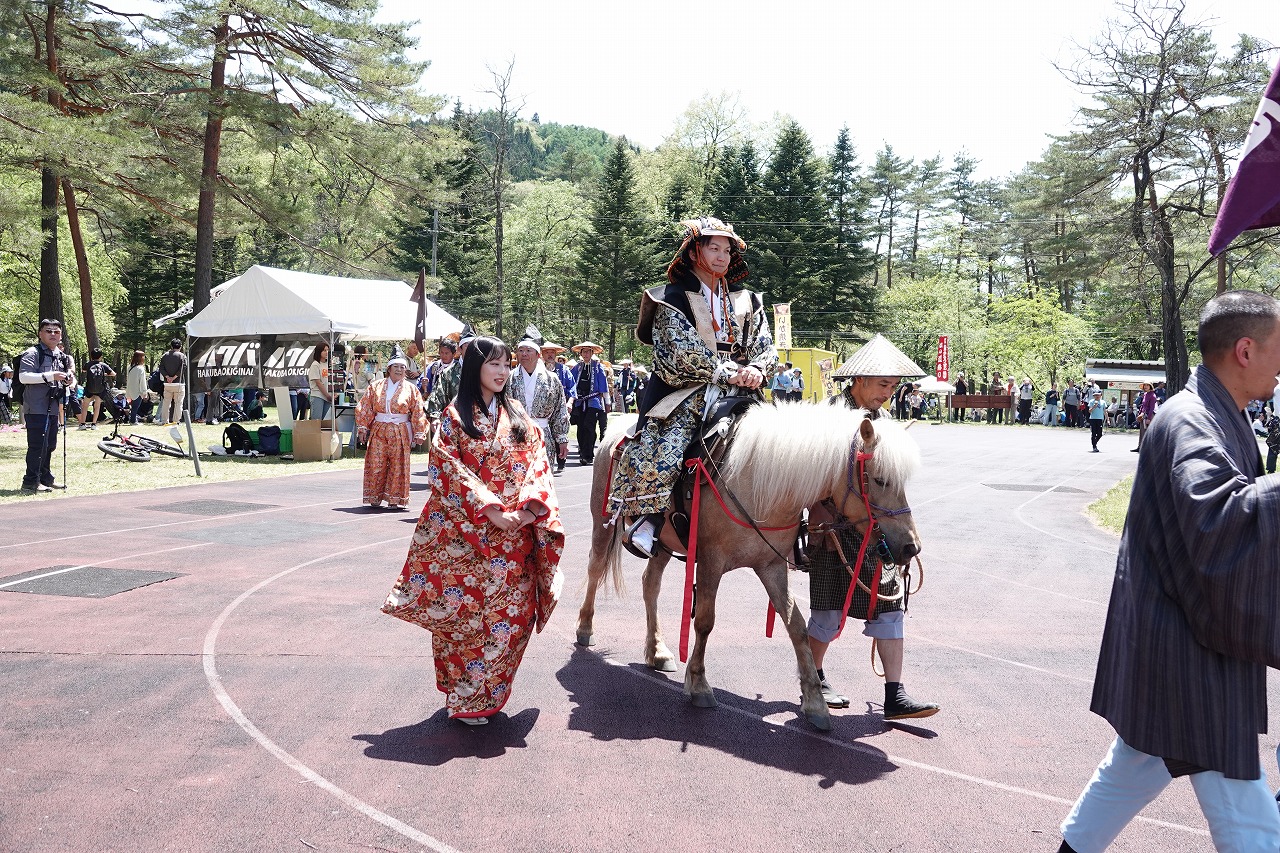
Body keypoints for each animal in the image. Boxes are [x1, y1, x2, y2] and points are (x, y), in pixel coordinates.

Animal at [578, 394, 921, 727]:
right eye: (879, 480)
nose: (910, 547)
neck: (757, 484)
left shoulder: (771, 566)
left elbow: (796, 625)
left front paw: (815, 702)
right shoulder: (711, 561)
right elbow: (704, 621)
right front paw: (699, 684)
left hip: (662, 543)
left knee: (650, 584)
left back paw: (658, 651)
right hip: (601, 521)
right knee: (595, 569)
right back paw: (585, 629)